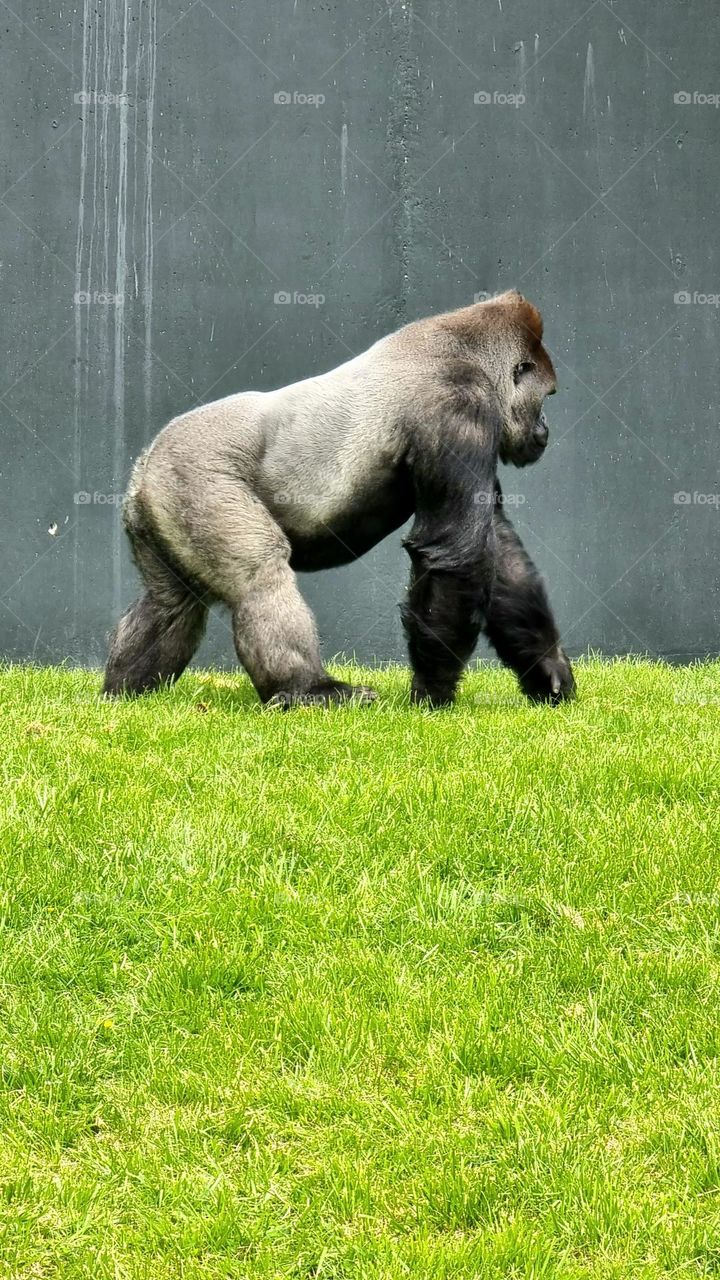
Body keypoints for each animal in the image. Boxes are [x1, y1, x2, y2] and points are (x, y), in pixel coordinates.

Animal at [102, 286, 571, 711]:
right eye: (545, 398)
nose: (546, 430)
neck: (469, 353)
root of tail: (145, 466)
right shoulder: (459, 406)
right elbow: (457, 553)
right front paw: (433, 691)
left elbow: (498, 550)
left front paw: (546, 666)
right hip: (196, 475)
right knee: (259, 575)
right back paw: (307, 690)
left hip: (158, 499)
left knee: (169, 603)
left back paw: (125, 691)